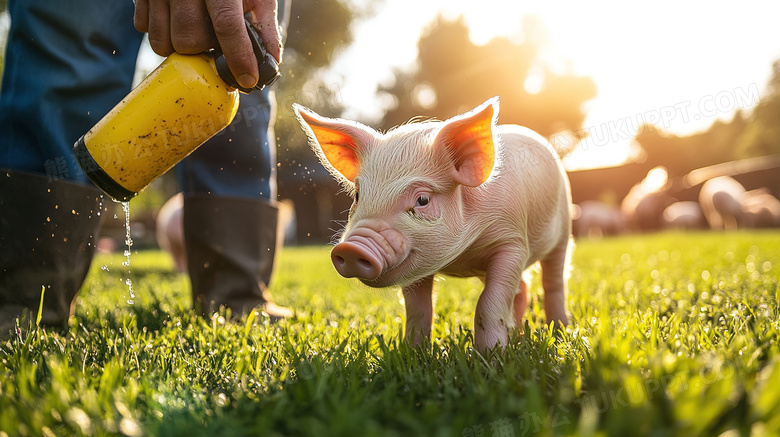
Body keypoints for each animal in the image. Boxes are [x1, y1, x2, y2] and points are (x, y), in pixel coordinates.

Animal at [294, 97, 572, 350]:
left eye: (423, 200)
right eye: (358, 195)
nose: (352, 248)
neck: (463, 257)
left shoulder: (512, 242)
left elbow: (488, 304)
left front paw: (492, 358)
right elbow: (418, 311)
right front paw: (412, 354)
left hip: (563, 230)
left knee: (554, 282)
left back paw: (560, 330)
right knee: (522, 287)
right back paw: (517, 333)